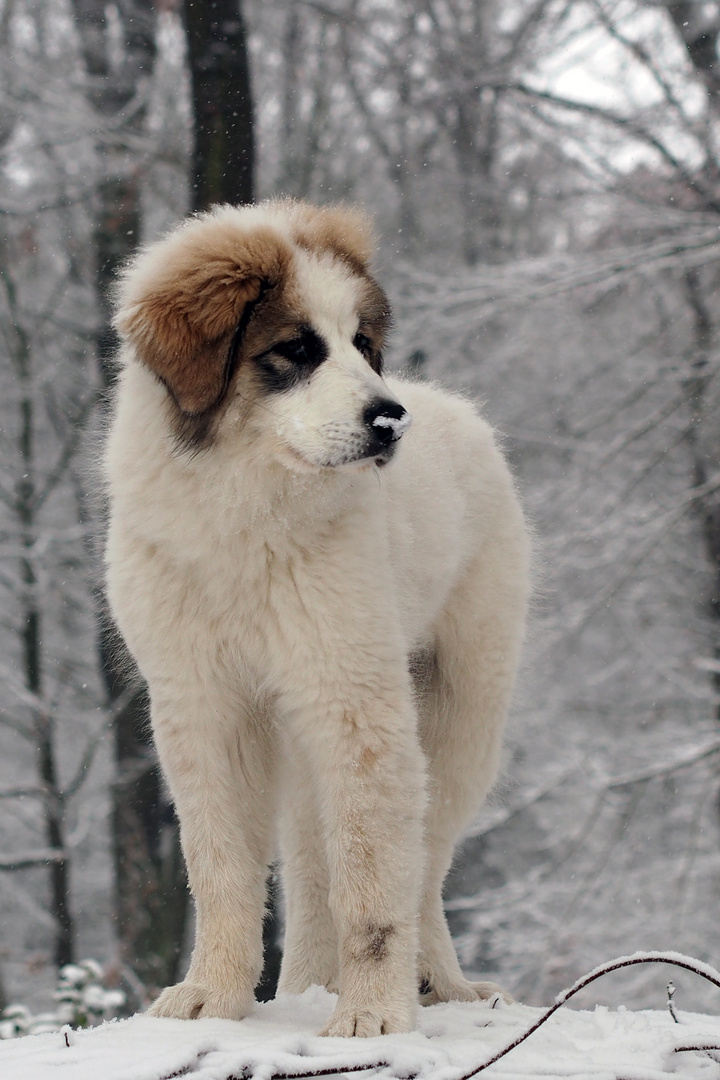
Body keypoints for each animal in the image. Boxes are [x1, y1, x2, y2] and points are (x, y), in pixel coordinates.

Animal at [102, 200, 528, 1036]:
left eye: (363, 345)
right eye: (295, 350)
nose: (390, 420)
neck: (245, 514)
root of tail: (455, 407)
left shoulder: (354, 700)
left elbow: (372, 880)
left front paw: (374, 1017)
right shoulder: (204, 706)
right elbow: (222, 869)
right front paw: (213, 997)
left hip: (461, 717)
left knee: (424, 862)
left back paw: (439, 984)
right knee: (309, 865)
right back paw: (307, 986)